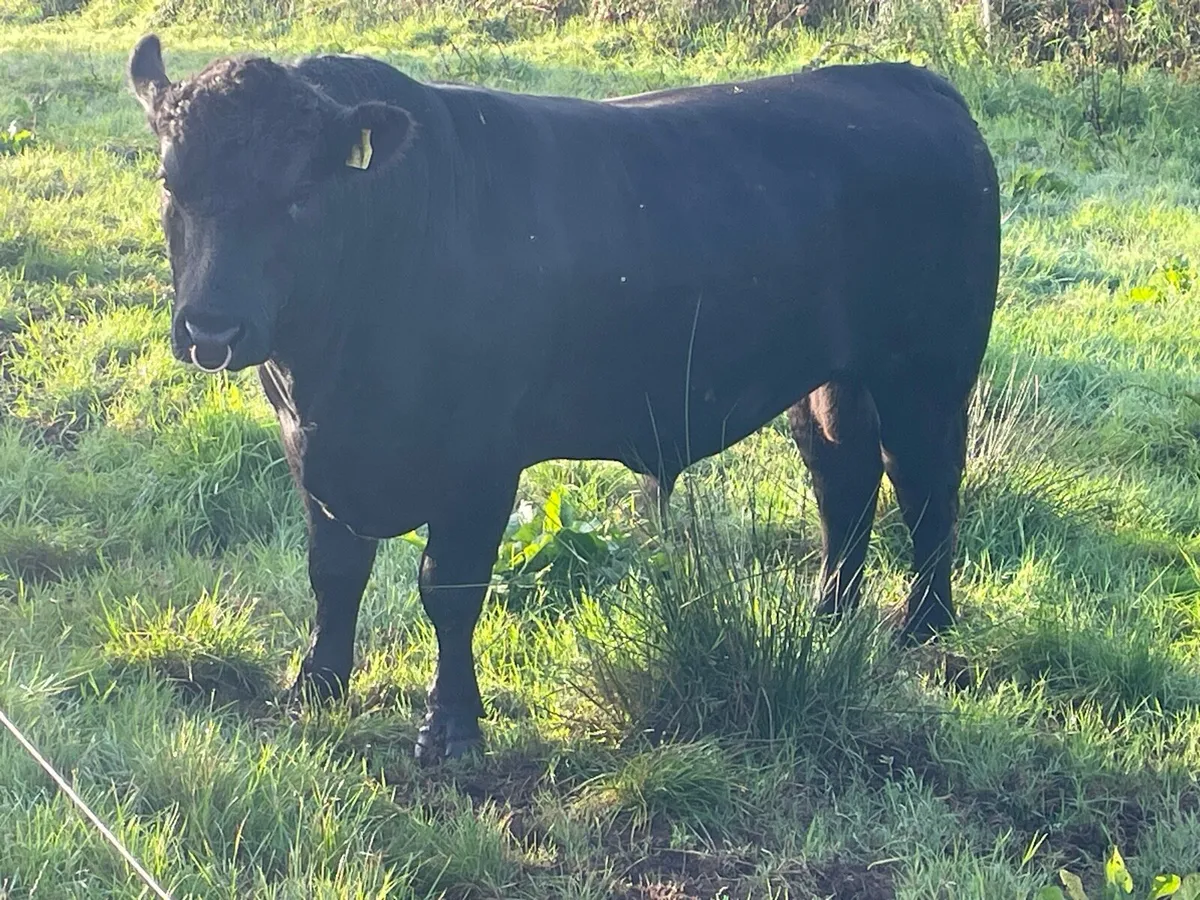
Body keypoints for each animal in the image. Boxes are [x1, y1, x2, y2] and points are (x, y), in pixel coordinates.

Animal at [127, 34, 1000, 761]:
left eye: (301, 195)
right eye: (171, 183)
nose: (211, 326)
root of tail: (912, 83)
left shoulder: (480, 460)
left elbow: (448, 590)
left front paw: (451, 730)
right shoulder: (313, 449)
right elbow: (334, 573)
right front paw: (316, 686)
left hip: (926, 372)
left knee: (926, 488)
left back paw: (920, 628)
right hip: (831, 377)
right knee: (843, 480)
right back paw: (828, 619)